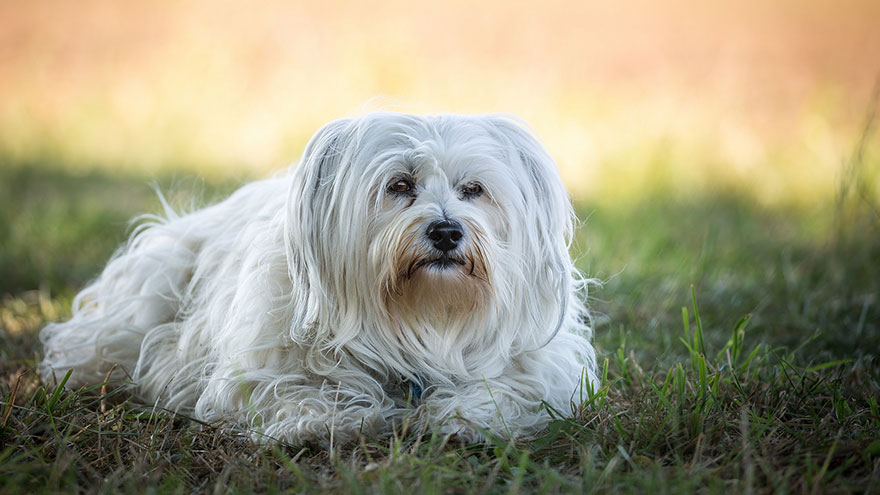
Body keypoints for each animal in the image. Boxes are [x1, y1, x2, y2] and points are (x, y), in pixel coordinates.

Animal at [39, 112, 600, 446]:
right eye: (400, 185)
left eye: (473, 189)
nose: (446, 231)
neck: (416, 317)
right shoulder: (253, 369)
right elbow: (283, 392)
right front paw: (329, 417)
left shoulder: (540, 371)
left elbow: (508, 389)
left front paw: (463, 416)